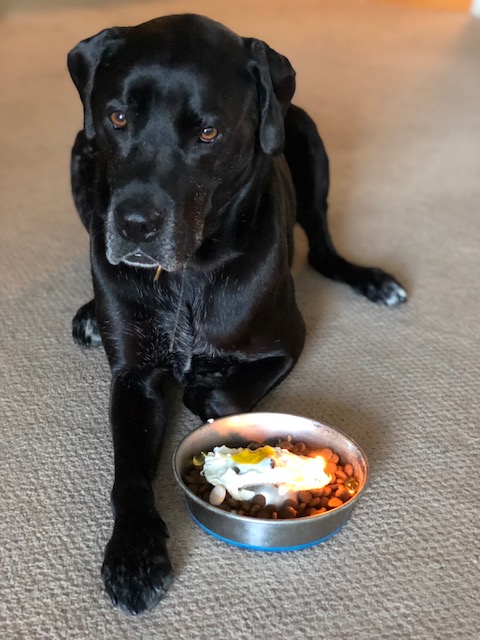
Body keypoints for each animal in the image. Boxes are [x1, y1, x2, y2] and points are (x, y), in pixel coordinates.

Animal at [67, 14, 407, 614]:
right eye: (117, 117)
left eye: (208, 134)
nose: (134, 226)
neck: (188, 275)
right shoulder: (133, 377)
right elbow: (128, 472)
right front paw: (134, 555)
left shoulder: (284, 345)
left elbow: (216, 397)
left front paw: (207, 387)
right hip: (78, 160)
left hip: (307, 138)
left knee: (322, 245)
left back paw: (370, 278)